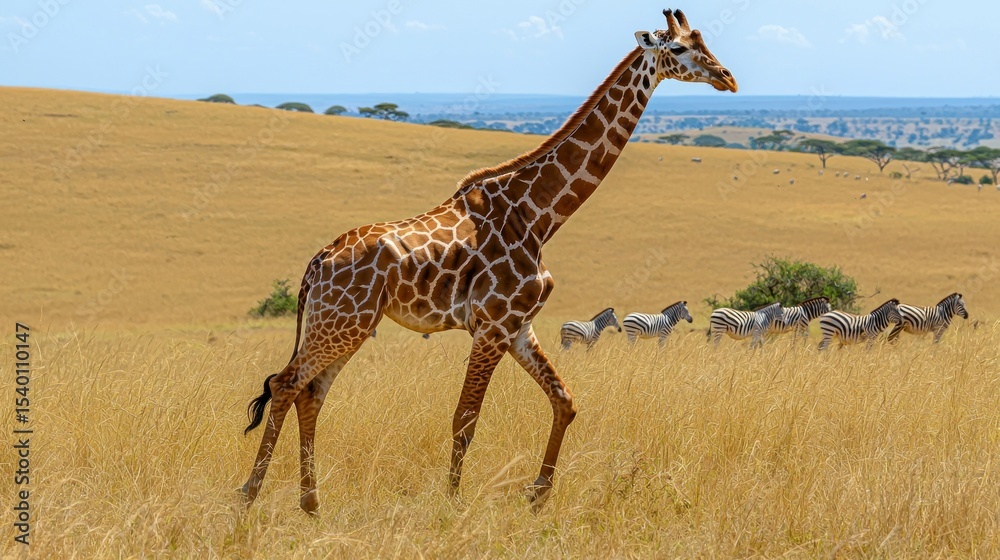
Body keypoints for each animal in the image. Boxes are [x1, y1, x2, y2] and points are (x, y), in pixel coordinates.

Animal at [241, 8, 737, 514]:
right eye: (677, 48)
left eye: (705, 43)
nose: (727, 78)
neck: (538, 215)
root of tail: (316, 264)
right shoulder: (492, 324)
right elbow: (465, 417)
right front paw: (452, 503)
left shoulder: (519, 326)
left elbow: (565, 401)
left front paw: (537, 495)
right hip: (343, 321)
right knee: (286, 385)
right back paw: (249, 496)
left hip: (346, 324)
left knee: (311, 392)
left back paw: (311, 505)